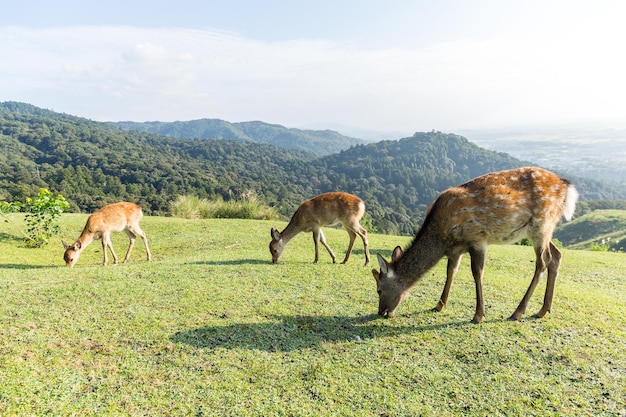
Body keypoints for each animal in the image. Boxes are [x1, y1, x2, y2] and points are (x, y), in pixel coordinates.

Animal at [368, 166, 576, 322]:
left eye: (379, 290)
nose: (381, 312)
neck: (442, 238)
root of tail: (566, 186)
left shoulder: (477, 238)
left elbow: (477, 273)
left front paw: (478, 315)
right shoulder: (455, 251)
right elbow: (450, 272)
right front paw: (439, 305)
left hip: (541, 223)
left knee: (543, 261)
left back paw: (518, 312)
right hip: (545, 228)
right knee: (557, 255)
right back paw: (543, 310)